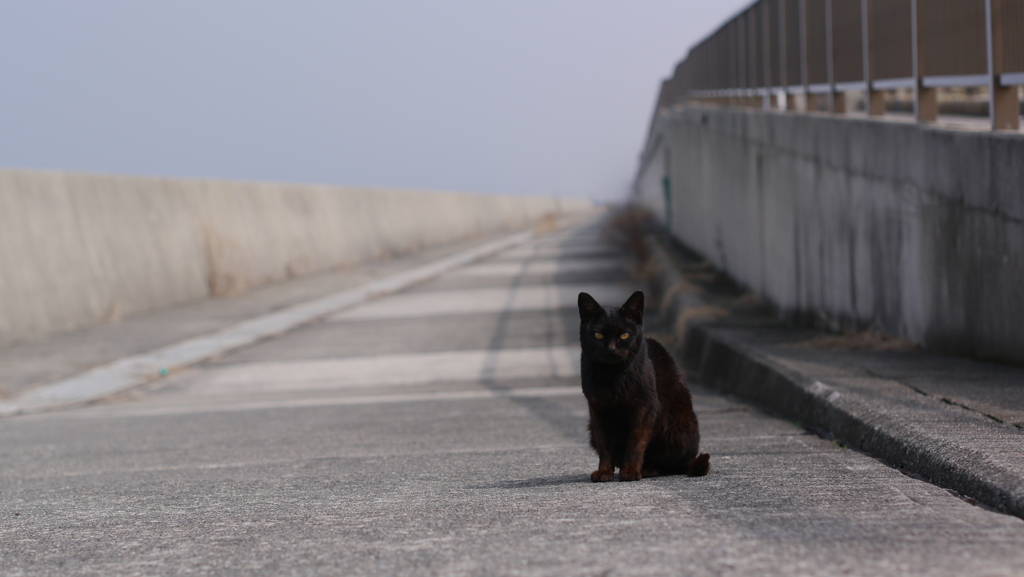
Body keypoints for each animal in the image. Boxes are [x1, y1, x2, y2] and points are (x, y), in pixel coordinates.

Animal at [581, 289, 708, 483]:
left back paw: (648, 469)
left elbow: (636, 442)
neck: (612, 376)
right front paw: (604, 472)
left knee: (671, 465)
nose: (611, 349)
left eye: (624, 335)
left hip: (679, 428)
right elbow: (604, 445)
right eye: (599, 335)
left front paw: (631, 471)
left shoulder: (644, 406)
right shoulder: (597, 408)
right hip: (591, 428)